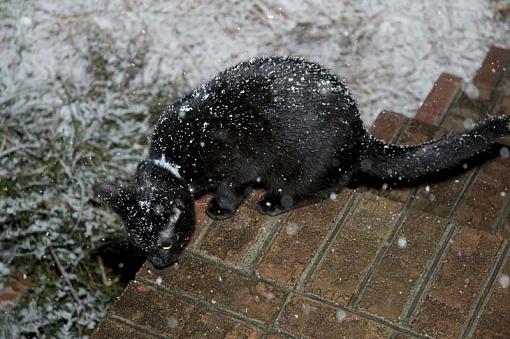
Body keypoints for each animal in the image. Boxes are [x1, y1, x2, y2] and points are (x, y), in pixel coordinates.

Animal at [92, 56, 510, 268]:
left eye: (164, 247)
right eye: (143, 251)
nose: (158, 265)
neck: (173, 162)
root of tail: (361, 134)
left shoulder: (240, 165)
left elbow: (231, 189)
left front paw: (220, 209)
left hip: (300, 169)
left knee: (321, 189)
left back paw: (273, 201)